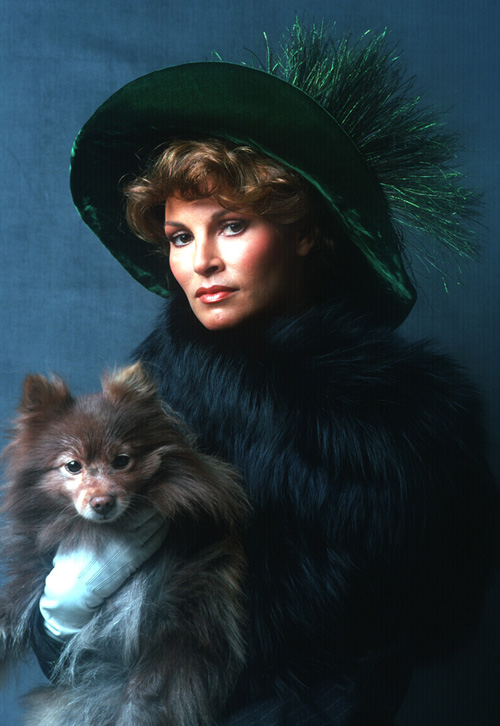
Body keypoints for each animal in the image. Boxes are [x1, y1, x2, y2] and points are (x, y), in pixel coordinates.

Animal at [0, 364, 250, 726]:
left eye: (122, 461)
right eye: (73, 466)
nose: (103, 502)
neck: (100, 534)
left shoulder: (183, 613)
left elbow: (149, 690)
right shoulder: (38, 569)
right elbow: (13, 603)